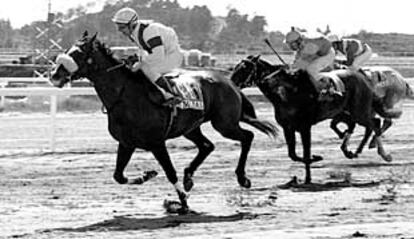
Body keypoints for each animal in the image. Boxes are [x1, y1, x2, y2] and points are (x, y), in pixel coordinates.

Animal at [49, 32, 278, 213]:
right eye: (68, 50)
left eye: (78, 53)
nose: (54, 74)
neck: (126, 96)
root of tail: (230, 82)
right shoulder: (126, 143)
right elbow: (118, 176)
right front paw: (147, 174)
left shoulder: (157, 143)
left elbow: (169, 172)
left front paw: (183, 202)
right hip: (191, 127)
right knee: (207, 145)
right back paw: (189, 177)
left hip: (224, 124)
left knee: (247, 137)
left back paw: (242, 178)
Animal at [230, 55, 394, 184]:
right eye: (236, 67)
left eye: (244, 68)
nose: (231, 83)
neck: (287, 94)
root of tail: (363, 79)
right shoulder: (287, 127)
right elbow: (293, 155)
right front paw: (313, 161)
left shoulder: (305, 126)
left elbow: (306, 153)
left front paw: (310, 172)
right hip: (347, 112)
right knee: (365, 125)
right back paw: (352, 151)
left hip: (359, 111)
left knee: (374, 125)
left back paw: (385, 155)